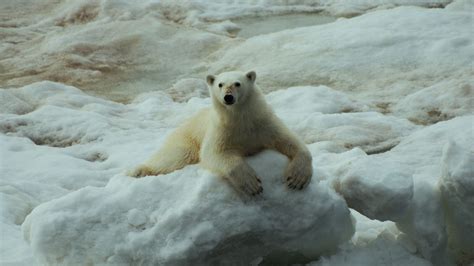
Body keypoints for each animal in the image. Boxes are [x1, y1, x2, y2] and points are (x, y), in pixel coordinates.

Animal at [131, 70, 314, 195]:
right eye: (220, 84)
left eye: (237, 83)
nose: (228, 97)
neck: (241, 119)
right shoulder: (221, 130)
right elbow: (214, 153)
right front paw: (252, 184)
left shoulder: (263, 123)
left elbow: (289, 140)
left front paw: (296, 178)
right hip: (186, 138)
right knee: (175, 156)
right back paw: (139, 171)